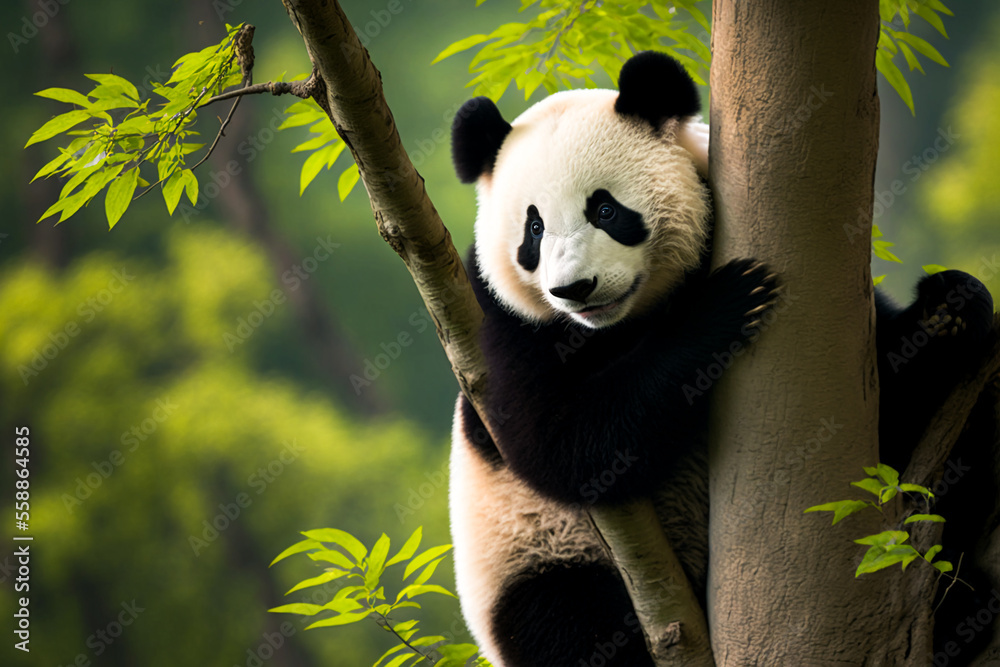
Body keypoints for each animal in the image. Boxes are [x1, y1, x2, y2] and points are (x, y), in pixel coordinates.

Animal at [446, 51, 997, 667]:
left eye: (606, 209)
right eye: (534, 229)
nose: (574, 289)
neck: (621, 323)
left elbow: (886, 389)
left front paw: (949, 310)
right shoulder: (495, 320)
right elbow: (559, 443)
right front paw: (726, 305)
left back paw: (960, 611)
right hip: (537, 558)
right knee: (570, 619)